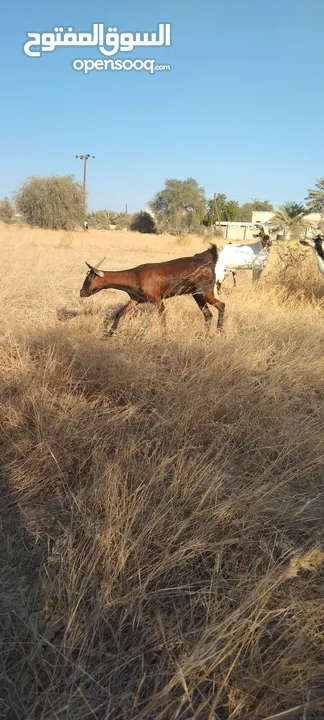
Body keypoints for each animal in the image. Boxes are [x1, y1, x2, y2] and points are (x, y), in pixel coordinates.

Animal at [79, 243, 224, 336]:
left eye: (89, 279)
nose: (82, 292)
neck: (135, 276)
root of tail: (208, 262)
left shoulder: (157, 300)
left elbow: (162, 318)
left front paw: (164, 336)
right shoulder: (135, 300)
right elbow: (120, 312)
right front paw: (110, 332)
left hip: (205, 292)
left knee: (221, 305)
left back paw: (219, 331)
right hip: (197, 295)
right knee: (208, 315)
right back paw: (205, 335)